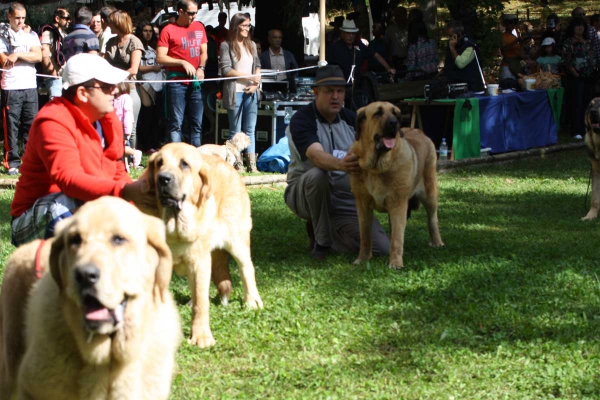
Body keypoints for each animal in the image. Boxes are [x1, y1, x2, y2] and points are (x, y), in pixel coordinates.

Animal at [147, 143, 262, 346]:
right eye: (159, 163)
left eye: (184, 164)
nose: (163, 179)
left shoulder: (199, 262)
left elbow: (201, 304)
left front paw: (201, 336)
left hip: (237, 241)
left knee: (247, 268)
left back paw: (252, 301)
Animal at [350, 101, 442, 268]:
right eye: (378, 113)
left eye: (395, 113)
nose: (394, 123)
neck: (376, 167)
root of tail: (419, 131)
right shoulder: (362, 203)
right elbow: (365, 235)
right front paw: (363, 259)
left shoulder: (398, 203)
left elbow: (397, 239)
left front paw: (395, 264)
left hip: (430, 193)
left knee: (432, 218)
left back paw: (437, 242)